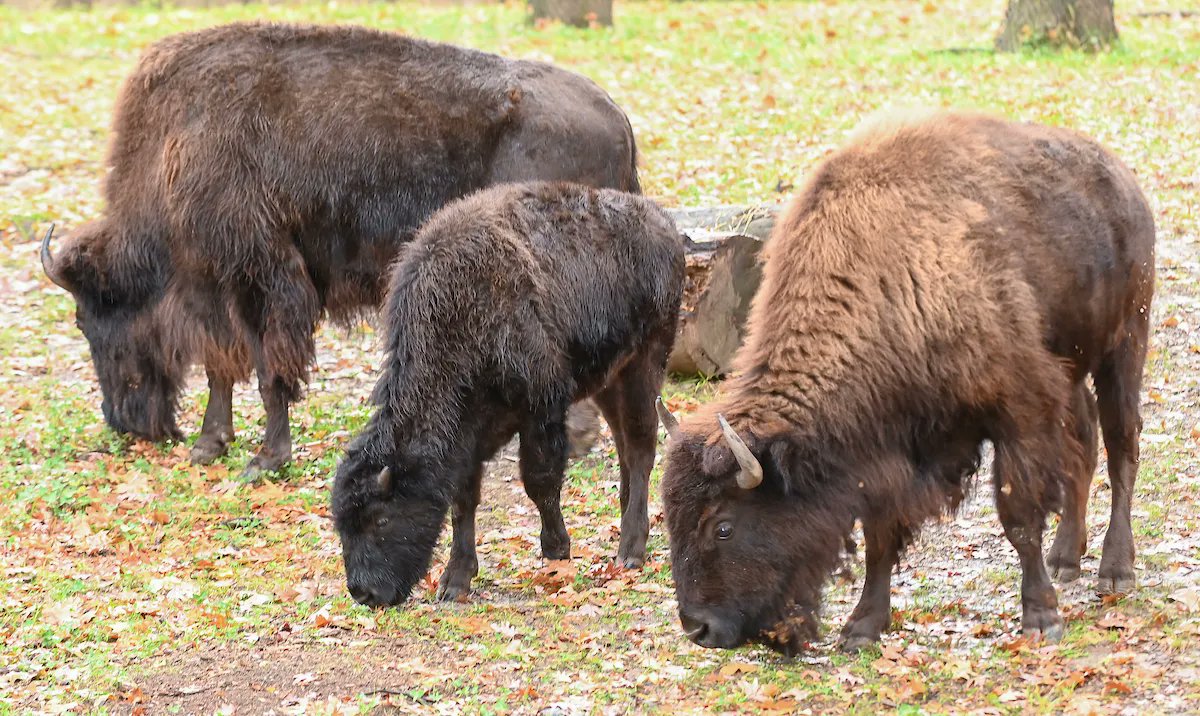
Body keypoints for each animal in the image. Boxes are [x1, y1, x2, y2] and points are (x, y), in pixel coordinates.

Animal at [39, 22, 640, 476]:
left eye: (87, 318)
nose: (124, 423)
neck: (177, 141)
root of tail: (614, 113)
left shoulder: (264, 279)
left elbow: (269, 369)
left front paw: (266, 459)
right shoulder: (218, 290)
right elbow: (220, 368)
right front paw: (210, 445)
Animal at [332, 182, 685, 605]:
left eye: (381, 518)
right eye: (343, 526)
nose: (363, 592)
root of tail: (661, 221)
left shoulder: (542, 408)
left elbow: (539, 482)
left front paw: (556, 551)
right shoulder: (468, 433)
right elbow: (463, 499)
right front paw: (455, 581)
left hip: (645, 364)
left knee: (640, 447)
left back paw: (631, 550)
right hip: (608, 378)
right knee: (624, 447)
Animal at [656, 110, 1155, 654]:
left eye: (723, 526)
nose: (698, 627)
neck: (884, 275)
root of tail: (1124, 179)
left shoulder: (1016, 410)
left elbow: (1018, 517)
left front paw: (1041, 618)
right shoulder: (886, 452)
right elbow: (881, 536)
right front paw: (862, 628)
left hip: (1124, 344)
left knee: (1122, 446)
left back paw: (1115, 570)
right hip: (1072, 366)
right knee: (1083, 440)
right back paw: (1066, 558)